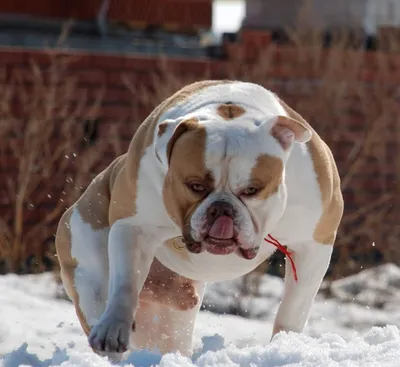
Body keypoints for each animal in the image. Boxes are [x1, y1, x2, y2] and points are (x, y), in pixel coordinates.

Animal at [55, 81, 344, 362]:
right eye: (195, 186)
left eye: (252, 190)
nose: (222, 208)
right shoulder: (134, 227)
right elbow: (125, 283)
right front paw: (113, 329)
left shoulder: (313, 245)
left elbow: (293, 309)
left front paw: (285, 344)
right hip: (88, 273)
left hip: (171, 319)